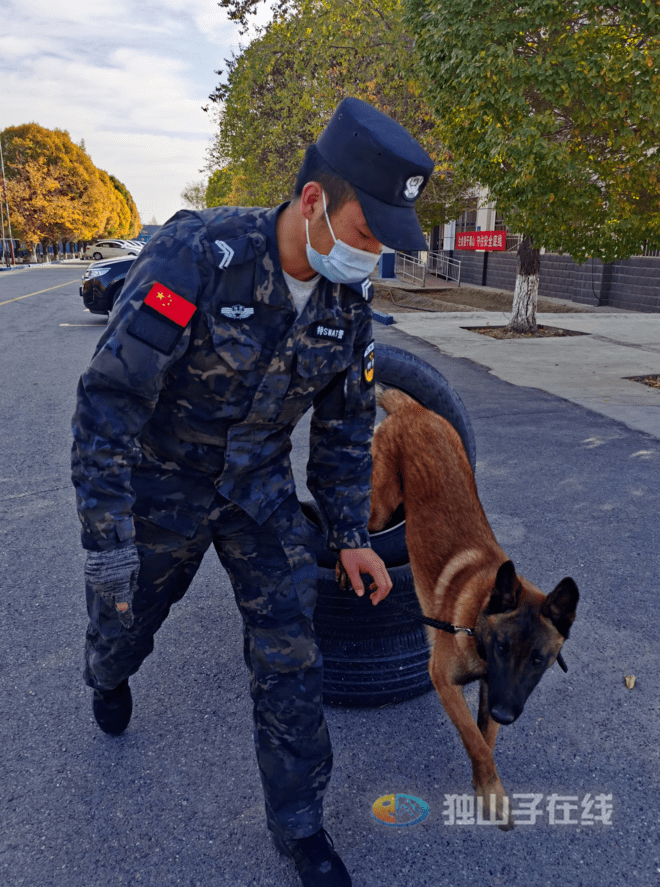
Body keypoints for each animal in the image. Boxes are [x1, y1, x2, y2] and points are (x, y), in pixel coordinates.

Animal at [368, 390, 580, 832]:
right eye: (501, 648)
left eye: (538, 660)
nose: (505, 713)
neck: (476, 622)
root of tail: (413, 409)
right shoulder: (444, 680)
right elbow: (475, 740)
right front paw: (491, 792)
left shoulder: (491, 688)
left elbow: (487, 739)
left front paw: (488, 788)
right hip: (381, 505)